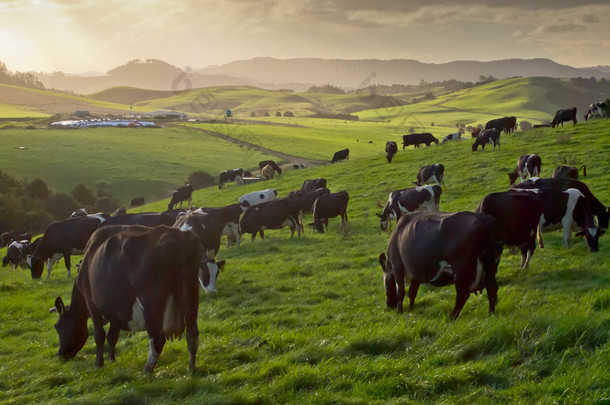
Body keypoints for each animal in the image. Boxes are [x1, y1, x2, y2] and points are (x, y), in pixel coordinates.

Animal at [50, 224, 202, 372]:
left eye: (58, 326)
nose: (59, 354)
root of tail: (177, 235)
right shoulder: (116, 310)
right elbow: (112, 336)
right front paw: (112, 360)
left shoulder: (91, 301)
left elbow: (99, 335)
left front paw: (99, 364)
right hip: (191, 294)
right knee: (192, 335)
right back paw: (191, 369)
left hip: (150, 302)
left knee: (158, 339)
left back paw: (146, 371)